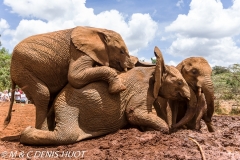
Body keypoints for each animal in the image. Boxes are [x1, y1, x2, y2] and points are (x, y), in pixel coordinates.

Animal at [3, 26, 134, 131]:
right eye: (121, 51)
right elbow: (74, 76)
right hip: (23, 70)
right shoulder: (78, 51)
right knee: (43, 94)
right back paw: (44, 131)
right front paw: (119, 89)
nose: (130, 67)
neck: (98, 30)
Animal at [19, 46, 191, 146]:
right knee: (67, 134)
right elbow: (134, 112)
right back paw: (26, 132)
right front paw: (156, 130)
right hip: (67, 104)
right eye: (180, 82)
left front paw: (145, 129)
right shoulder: (143, 89)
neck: (154, 68)